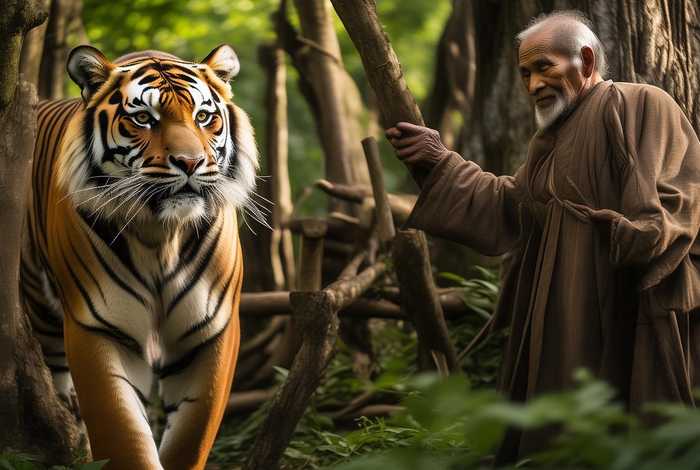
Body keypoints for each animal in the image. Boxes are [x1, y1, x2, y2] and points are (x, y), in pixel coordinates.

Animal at [19, 44, 259, 469]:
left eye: (203, 117)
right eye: (144, 119)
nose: (190, 162)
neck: (160, 235)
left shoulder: (211, 329)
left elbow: (191, 437)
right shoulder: (99, 326)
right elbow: (123, 434)